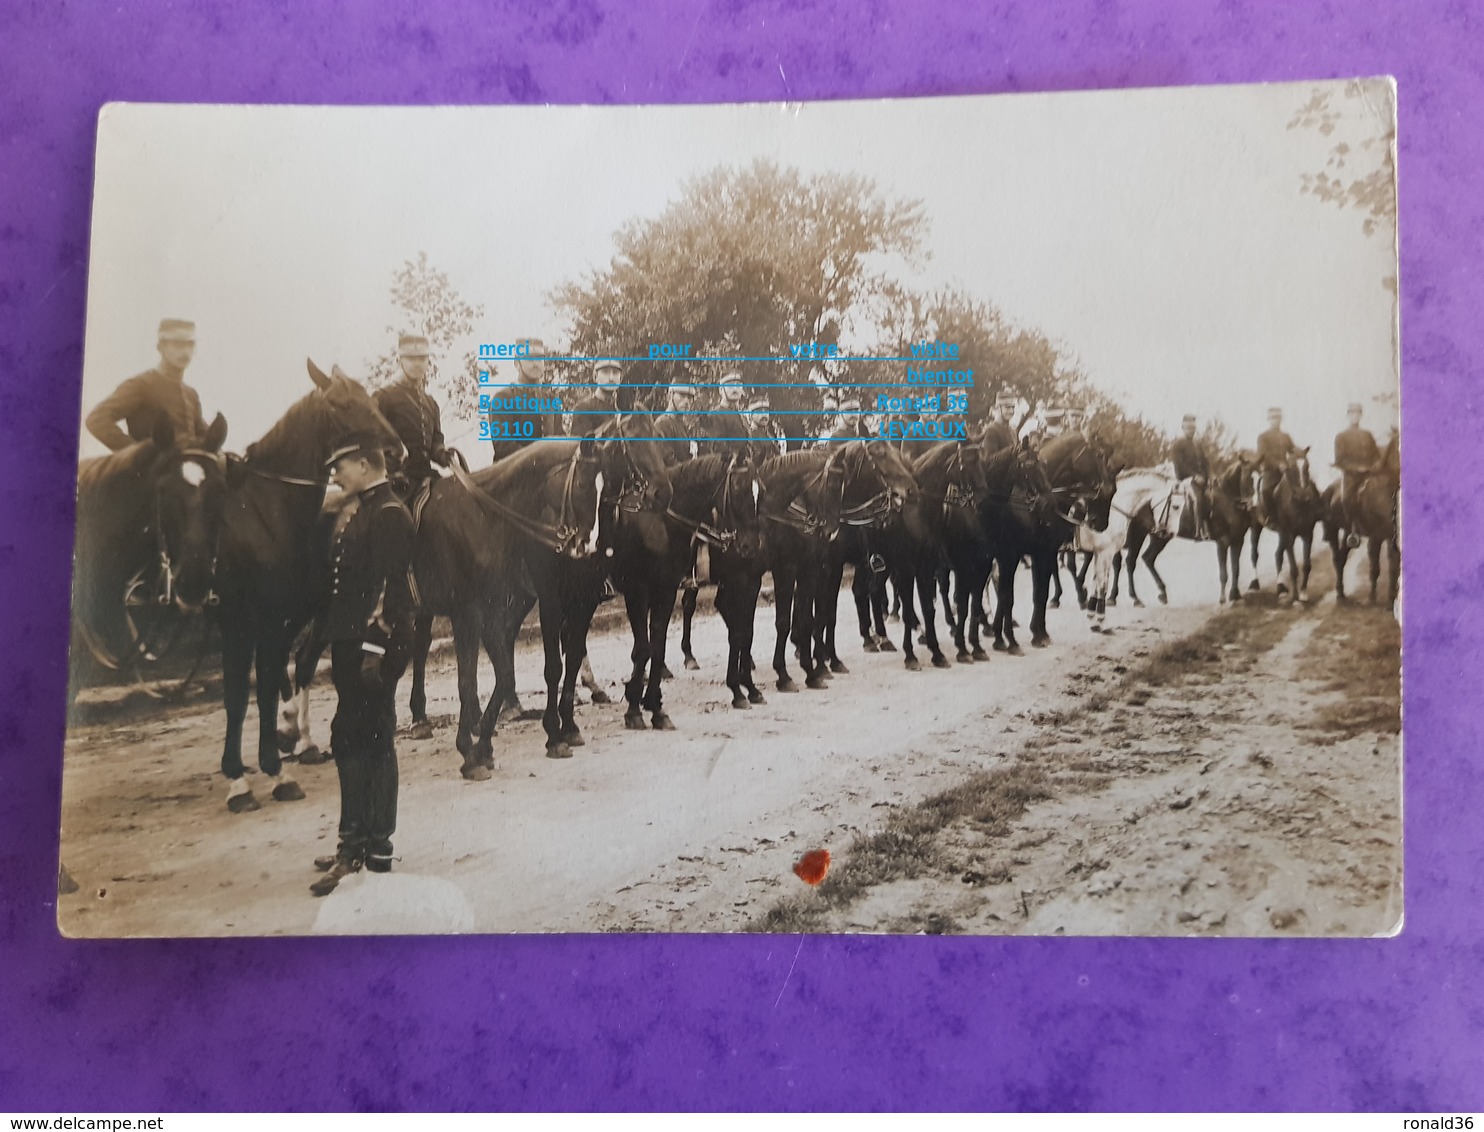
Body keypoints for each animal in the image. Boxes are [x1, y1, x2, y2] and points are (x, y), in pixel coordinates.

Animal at [215, 363, 400, 813]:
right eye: (341, 403)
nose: (397, 452)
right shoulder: (239, 619)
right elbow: (240, 692)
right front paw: (242, 781)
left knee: (298, 662)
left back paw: (297, 738)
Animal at [1074, 465, 1187, 632]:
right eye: (1175, 506)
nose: (1171, 533)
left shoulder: (1100, 552)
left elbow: (1096, 581)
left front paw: (1092, 616)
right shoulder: (1106, 552)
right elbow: (1103, 584)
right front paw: (1100, 619)